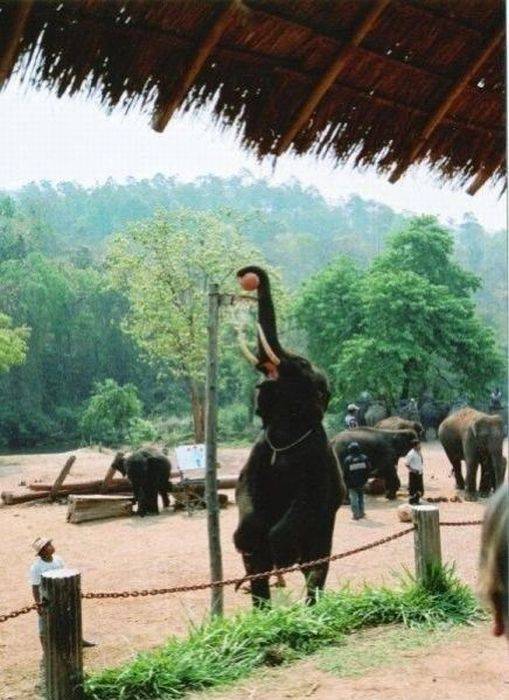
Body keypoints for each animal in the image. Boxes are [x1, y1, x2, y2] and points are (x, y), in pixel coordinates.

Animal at [234, 266, 346, 604]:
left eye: (301, 363)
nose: (246, 274)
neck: (286, 434)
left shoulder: (318, 457)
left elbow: (310, 496)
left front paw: (278, 545)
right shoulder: (259, 450)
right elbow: (243, 486)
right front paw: (245, 538)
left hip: (321, 539)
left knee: (315, 572)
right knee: (257, 572)